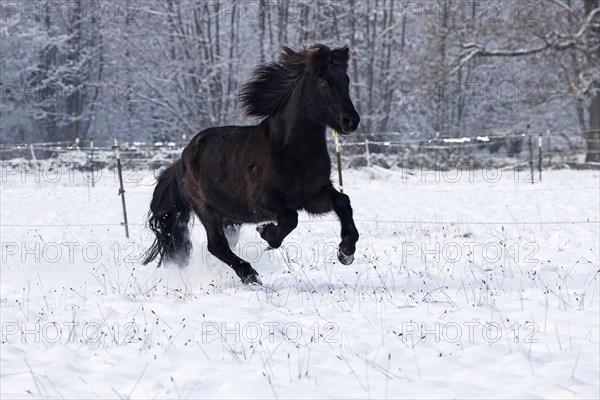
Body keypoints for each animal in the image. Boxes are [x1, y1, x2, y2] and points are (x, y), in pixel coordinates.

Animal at [142, 45, 360, 284]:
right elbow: (289, 218)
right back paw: (249, 274)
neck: (291, 152)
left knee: (224, 245)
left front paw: (346, 251)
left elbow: (342, 201)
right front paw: (266, 231)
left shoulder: (313, 196)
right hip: (206, 209)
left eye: (346, 80)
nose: (351, 121)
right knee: (216, 245)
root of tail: (180, 162)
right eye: (324, 83)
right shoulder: (261, 200)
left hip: (230, 219)